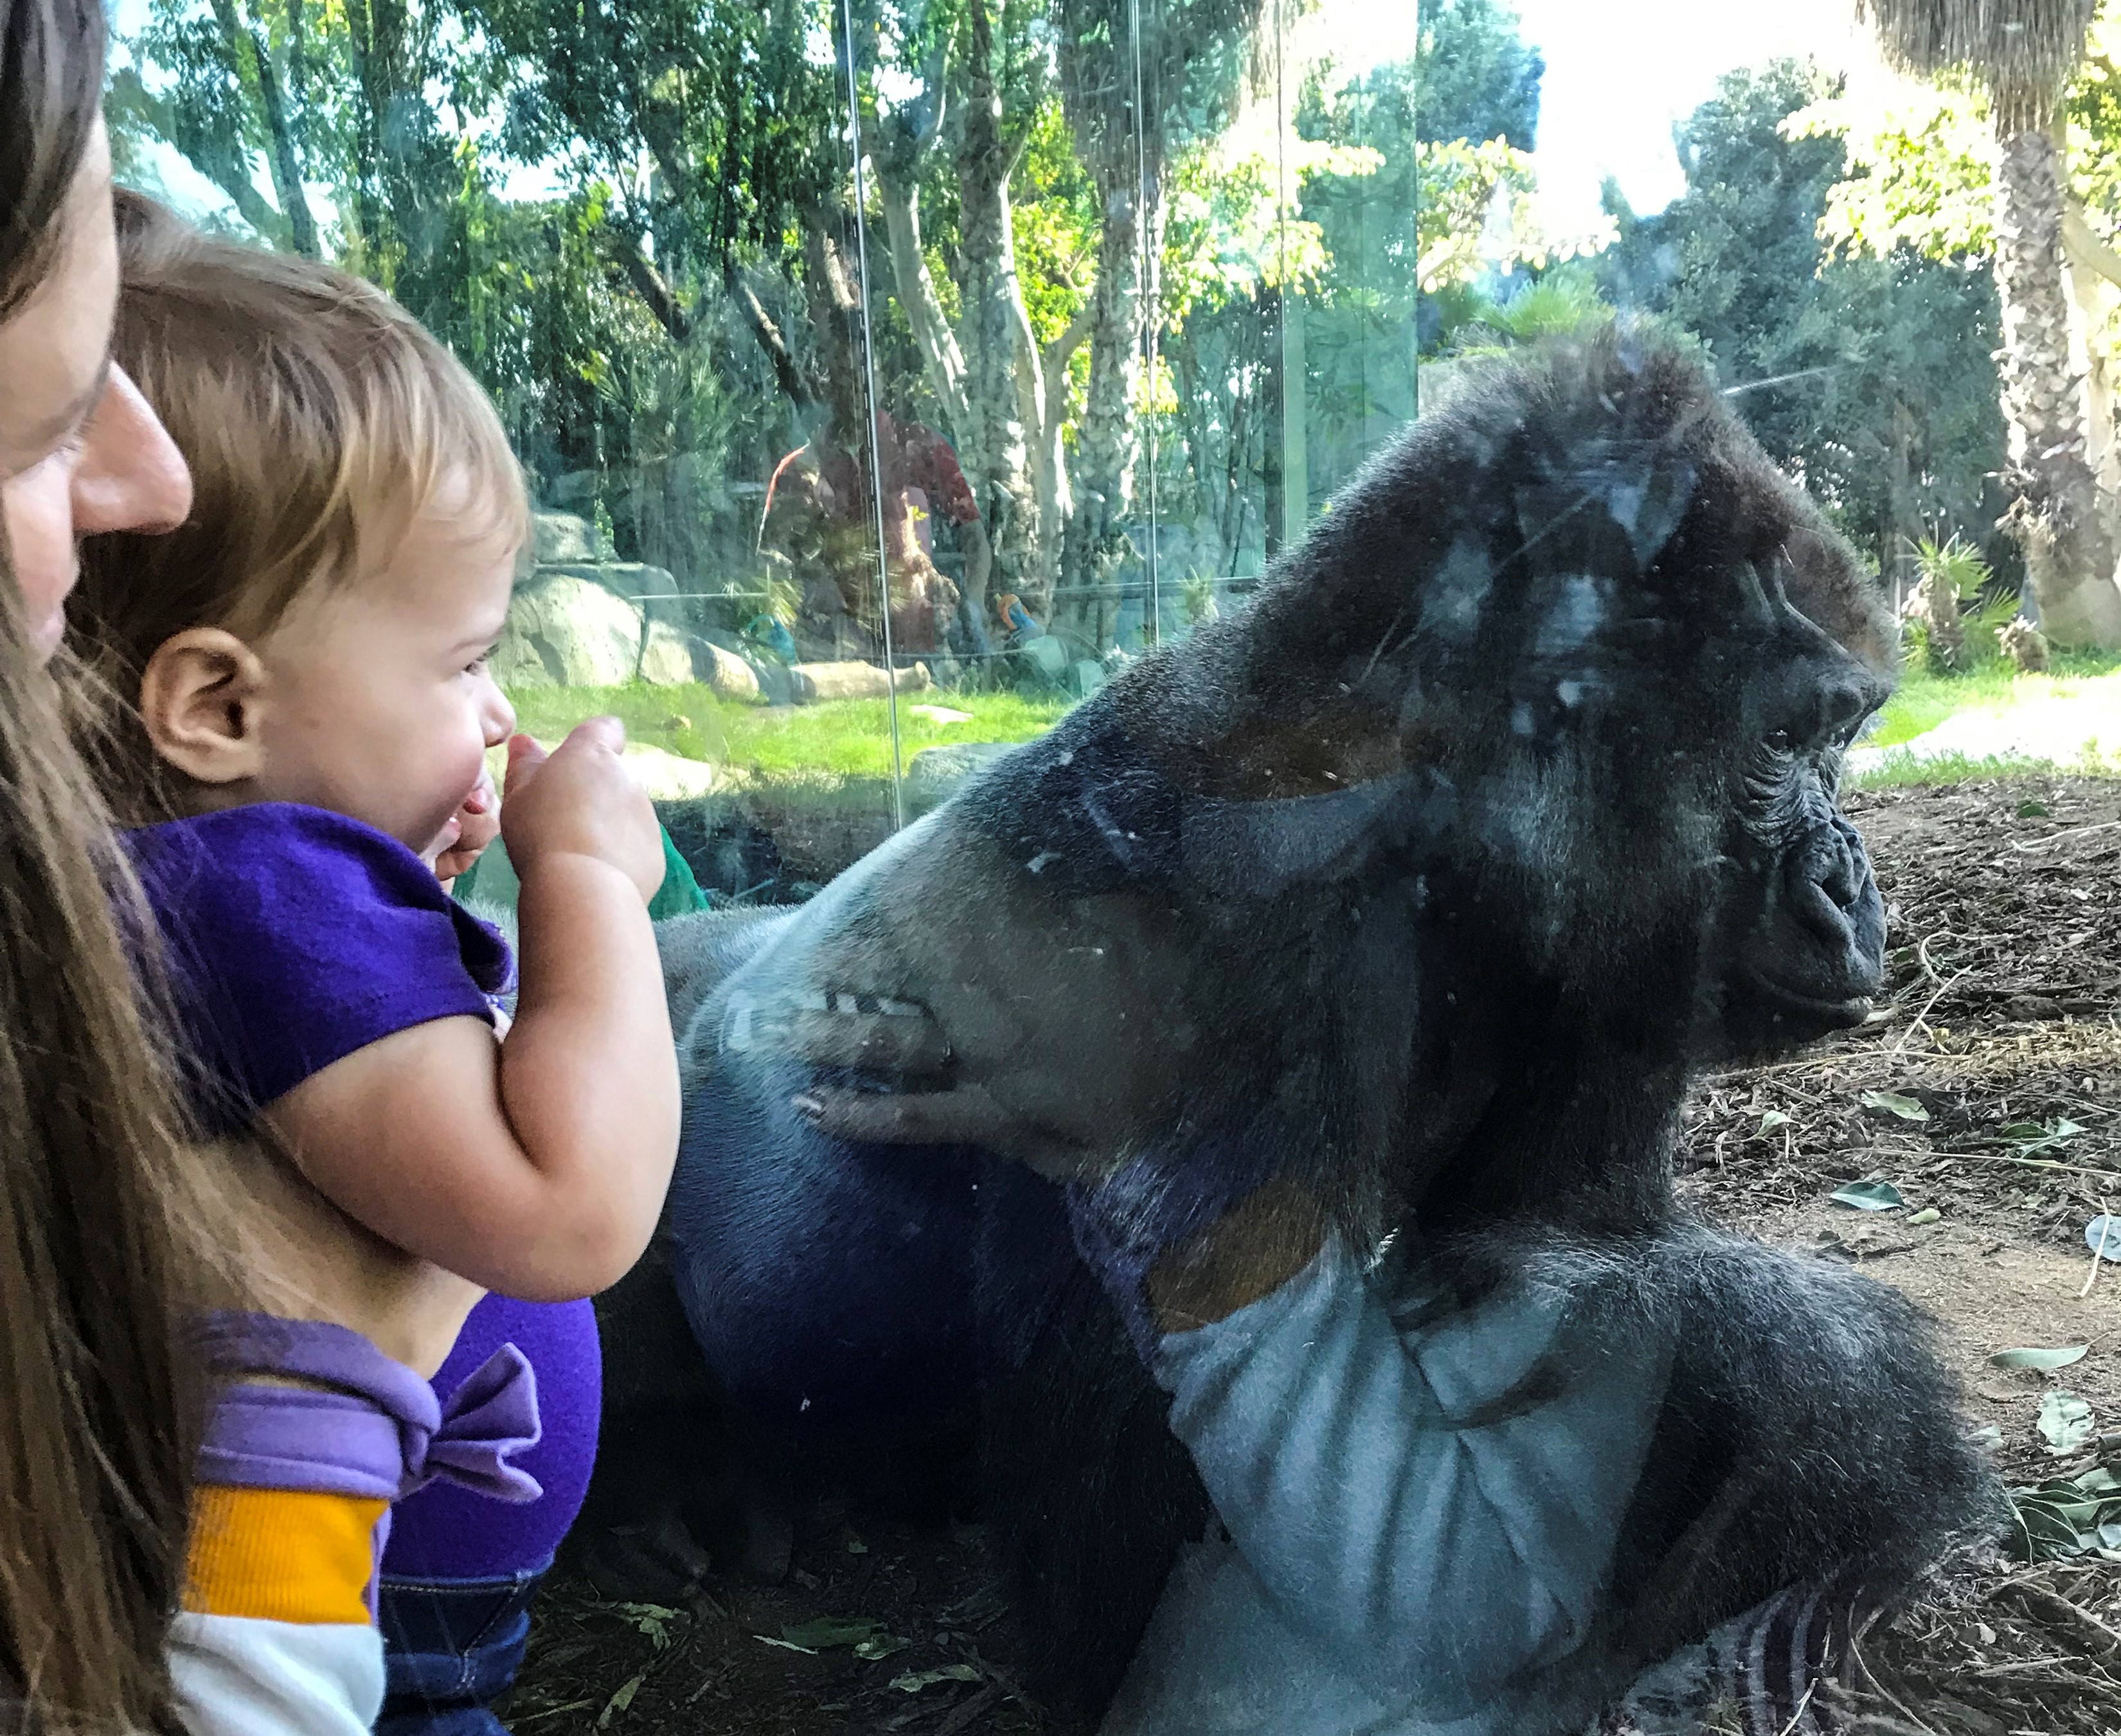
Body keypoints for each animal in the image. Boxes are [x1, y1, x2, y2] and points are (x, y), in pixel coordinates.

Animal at [602, 331, 2002, 1723]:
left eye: (1845, 738)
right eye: (1789, 738)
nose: (1854, 888)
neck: (1428, 801)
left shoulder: (1613, 973)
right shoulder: (1221, 946)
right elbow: (1338, 1572)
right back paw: (684, 1466)